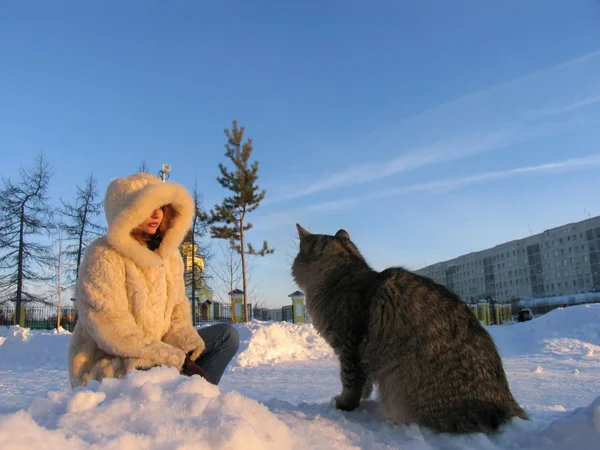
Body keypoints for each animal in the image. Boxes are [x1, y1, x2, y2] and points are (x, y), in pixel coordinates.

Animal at [292, 224, 528, 432]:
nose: (292, 265)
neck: (344, 277)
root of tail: (508, 405)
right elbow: (364, 384)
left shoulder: (349, 345)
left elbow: (350, 382)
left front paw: (344, 404)